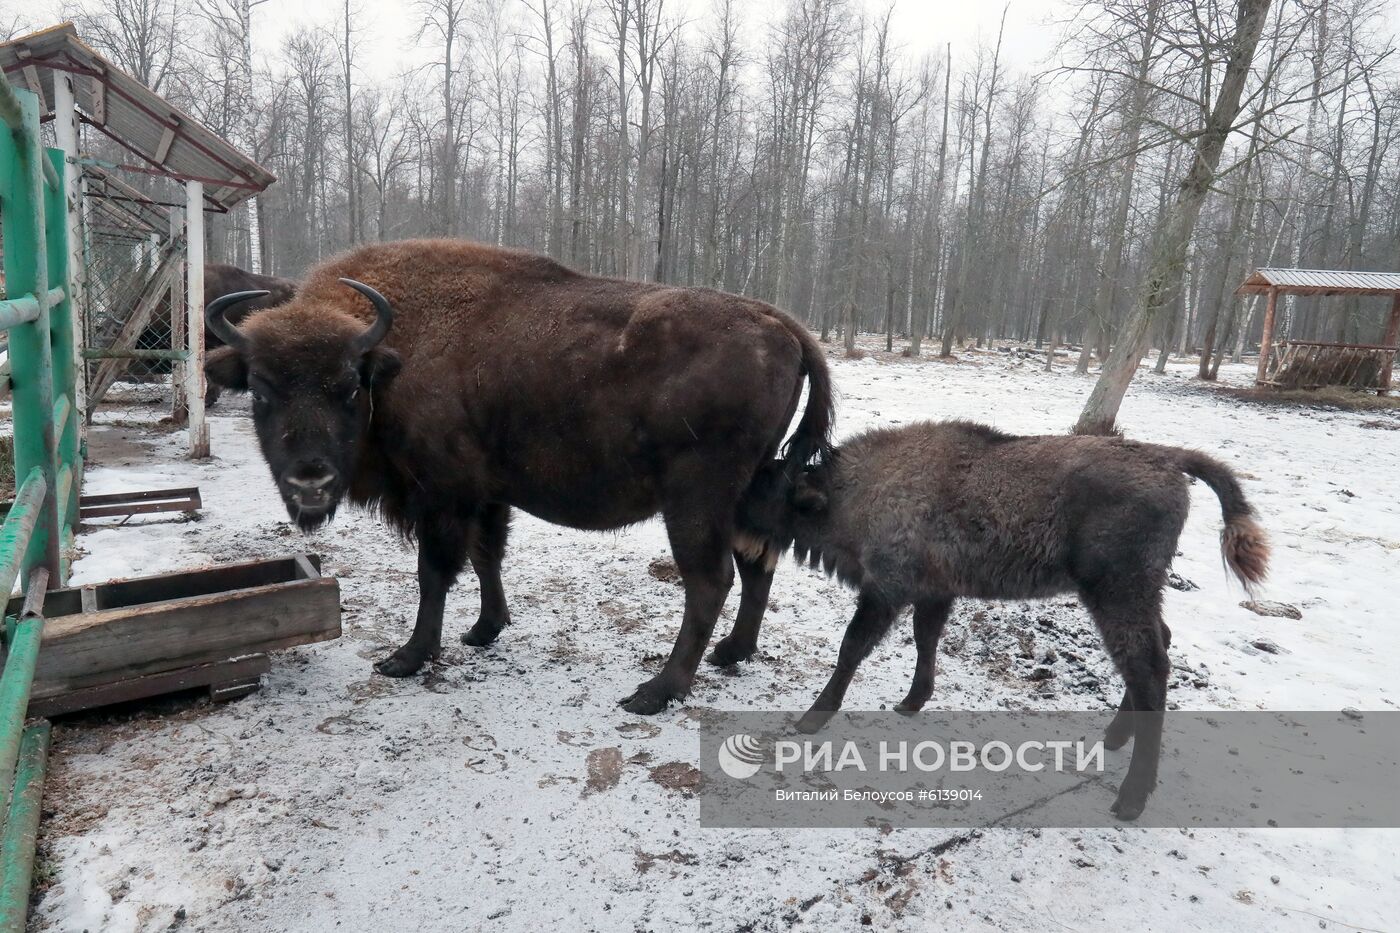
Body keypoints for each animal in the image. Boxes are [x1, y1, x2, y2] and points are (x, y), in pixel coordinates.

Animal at [203, 238, 823, 711]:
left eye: (349, 387)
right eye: (260, 389)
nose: (310, 481)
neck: (393, 355)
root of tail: (782, 323)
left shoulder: (442, 497)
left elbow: (434, 573)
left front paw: (406, 657)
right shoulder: (486, 496)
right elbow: (487, 557)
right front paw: (484, 630)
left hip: (696, 499)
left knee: (710, 580)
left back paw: (655, 692)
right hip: (746, 494)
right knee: (758, 565)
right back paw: (731, 654)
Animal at [733, 417, 1271, 818]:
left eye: (767, 486)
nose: (727, 511)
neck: (856, 489)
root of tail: (1168, 458)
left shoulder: (886, 591)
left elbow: (852, 648)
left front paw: (812, 718)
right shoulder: (934, 593)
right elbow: (925, 640)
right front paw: (911, 701)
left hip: (1116, 595)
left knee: (1149, 667)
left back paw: (1130, 798)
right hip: (1136, 596)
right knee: (1158, 647)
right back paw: (1116, 739)